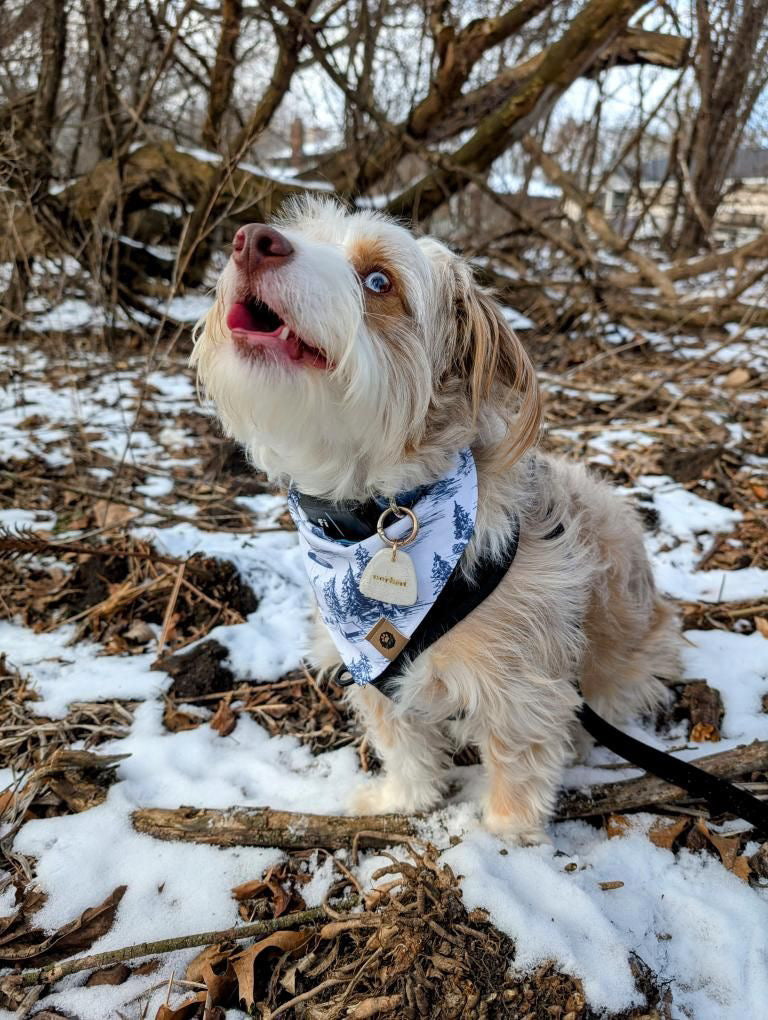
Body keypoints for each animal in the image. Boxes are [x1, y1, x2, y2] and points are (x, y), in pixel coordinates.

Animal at [190, 198, 677, 844]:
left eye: (379, 282)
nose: (250, 240)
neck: (376, 516)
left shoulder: (520, 685)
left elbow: (519, 763)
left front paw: (503, 837)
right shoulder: (373, 668)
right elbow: (402, 743)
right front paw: (403, 800)